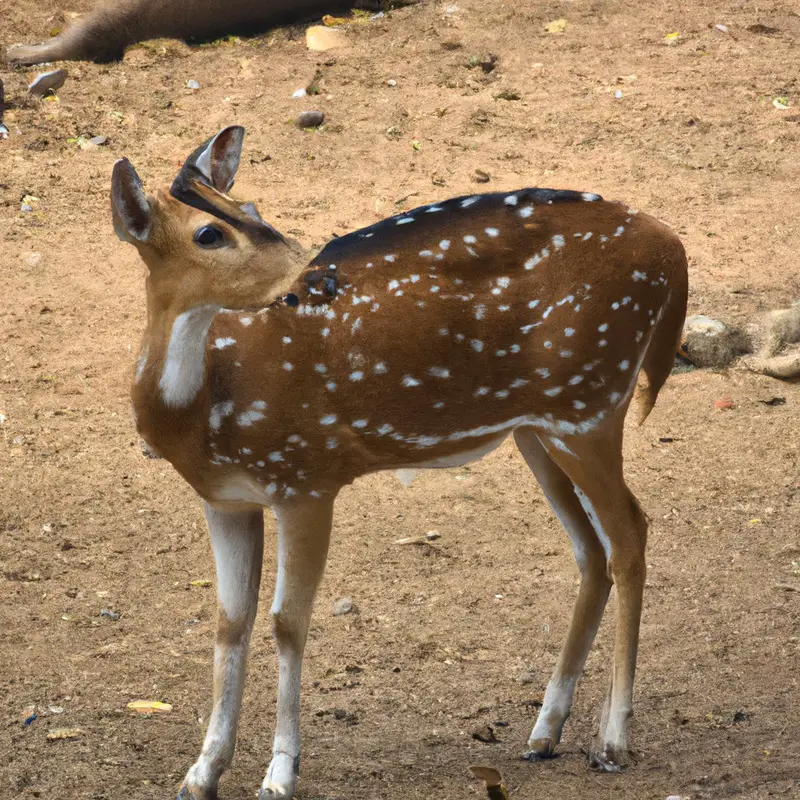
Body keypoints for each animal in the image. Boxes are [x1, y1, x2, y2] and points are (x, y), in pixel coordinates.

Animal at [111, 126, 688, 800]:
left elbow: (286, 622)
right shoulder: (225, 498)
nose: (317, 278)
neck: (202, 412)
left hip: (591, 402)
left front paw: (279, 774)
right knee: (592, 549)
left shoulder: (307, 476)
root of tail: (674, 248)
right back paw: (544, 733)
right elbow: (230, 622)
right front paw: (201, 773)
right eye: (209, 233)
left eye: (250, 208)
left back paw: (613, 740)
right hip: (538, 428)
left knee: (630, 532)